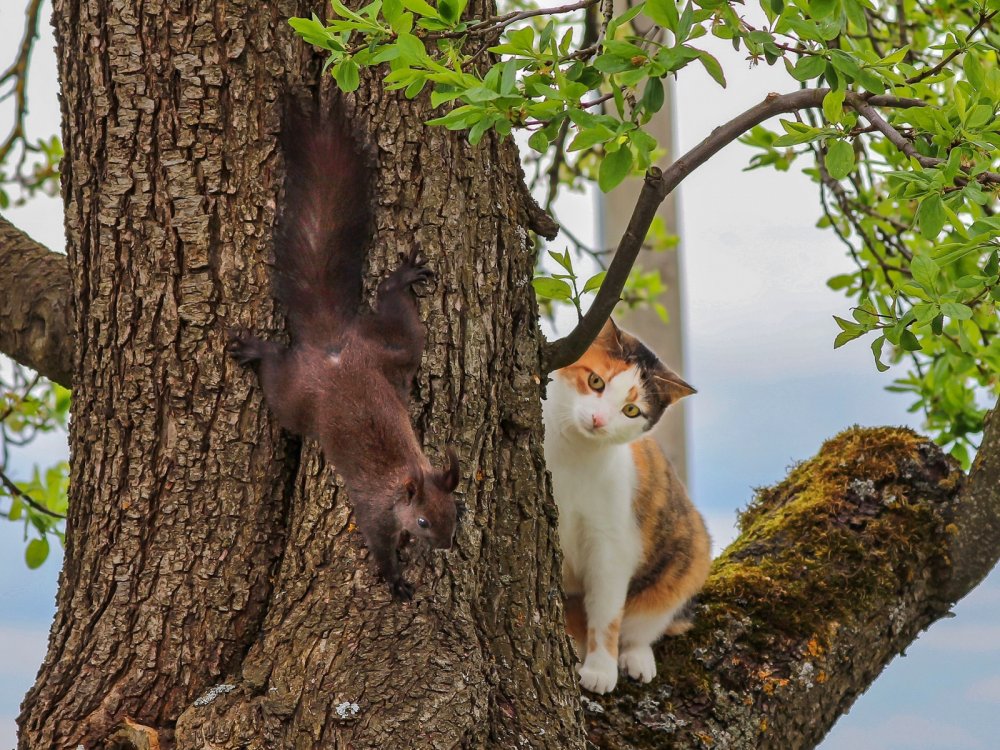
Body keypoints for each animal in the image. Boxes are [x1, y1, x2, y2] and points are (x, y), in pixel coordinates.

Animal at [229, 104, 458, 600]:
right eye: (424, 521)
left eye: (457, 512)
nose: (447, 545)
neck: (405, 480)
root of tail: (333, 348)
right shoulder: (374, 513)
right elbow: (379, 547)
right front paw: (396, 581)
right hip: (295, 397)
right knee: (276, 371)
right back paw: (255, 349)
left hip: (395, 350)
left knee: (393, 308)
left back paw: (402, 278)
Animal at [548, 320, 712, 696]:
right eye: (596, 381)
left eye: (631, 411)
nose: (598, 419)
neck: (572, 455)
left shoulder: (611, 543)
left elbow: (607, 613)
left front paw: (601, 668)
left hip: (690, 554)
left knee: (642, 625)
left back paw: (636, 657)